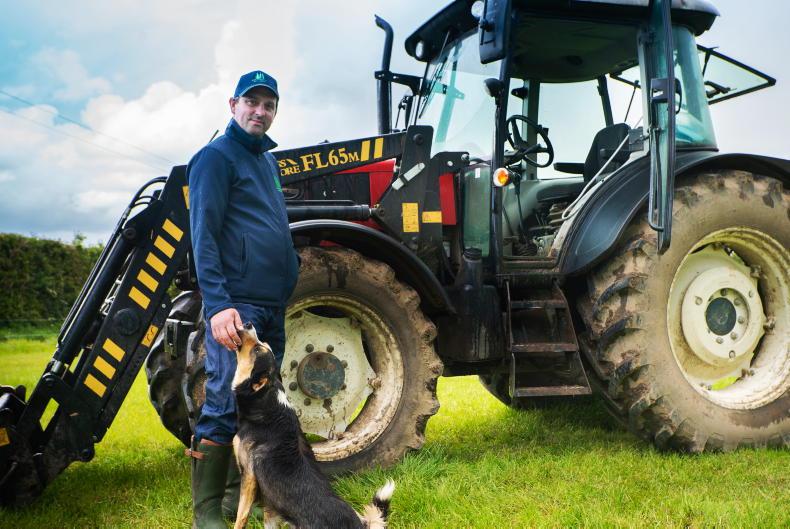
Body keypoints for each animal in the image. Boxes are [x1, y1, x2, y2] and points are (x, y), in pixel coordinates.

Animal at [231, 322, 395, 529]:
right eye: (263, 345)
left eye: (257, 349)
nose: (247, 324)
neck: (267, 400)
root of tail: (360, 525)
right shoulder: (271, 505)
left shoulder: (249, 476)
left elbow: (240, 517)